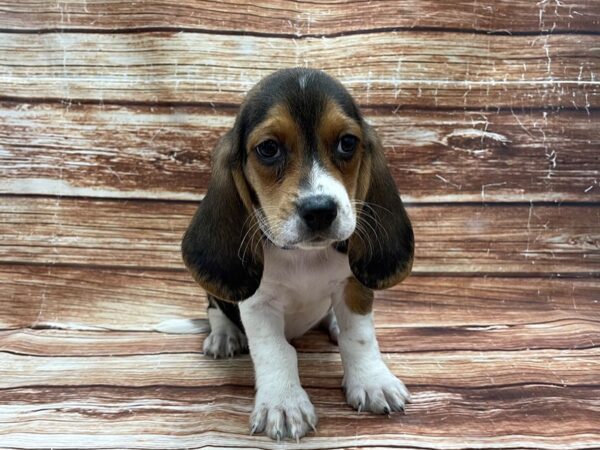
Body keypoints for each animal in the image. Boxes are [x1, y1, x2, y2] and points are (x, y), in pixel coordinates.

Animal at [183, 68, 414, 442]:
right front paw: (283, 403)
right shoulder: (258, 306)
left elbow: (359, 336)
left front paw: (372, 382)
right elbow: (275, 351)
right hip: (216, 295)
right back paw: (224, 335)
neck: (305, 257)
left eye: (347, 143)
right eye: (268, 148)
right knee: (214, 307)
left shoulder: (353, 286)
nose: (320, 211)